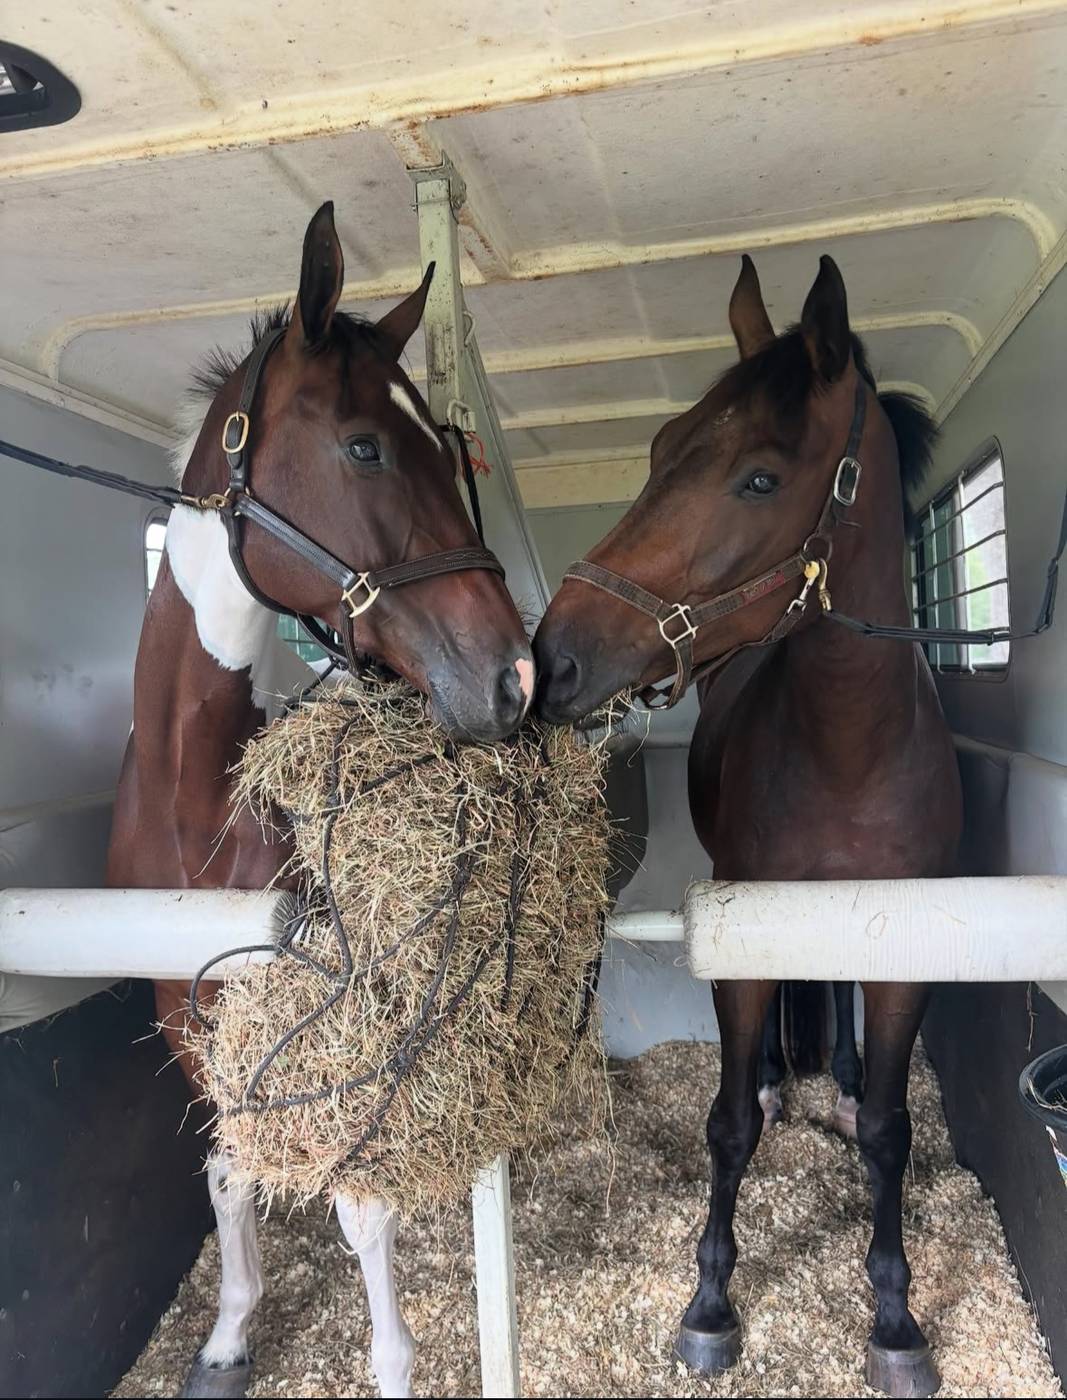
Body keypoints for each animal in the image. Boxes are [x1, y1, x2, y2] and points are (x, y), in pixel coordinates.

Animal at [106, 202, 535, 1400]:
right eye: (363, 446)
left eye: (450, 449)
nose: (513, 678)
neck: (196, 800)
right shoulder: (193, 1014)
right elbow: (225, 1172)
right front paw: (226, 1337)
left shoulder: (332, 1022)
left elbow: (359, 1207)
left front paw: (391, 1364)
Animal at [533, 253, 961, 1398]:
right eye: (658, 449)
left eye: (760, 478)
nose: (550, 658)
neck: (849, 750)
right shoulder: (742, 941)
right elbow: (723, 1125)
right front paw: (710, 1302)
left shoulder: (901, 953)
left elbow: (891, 1132)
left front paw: (893, 1314)